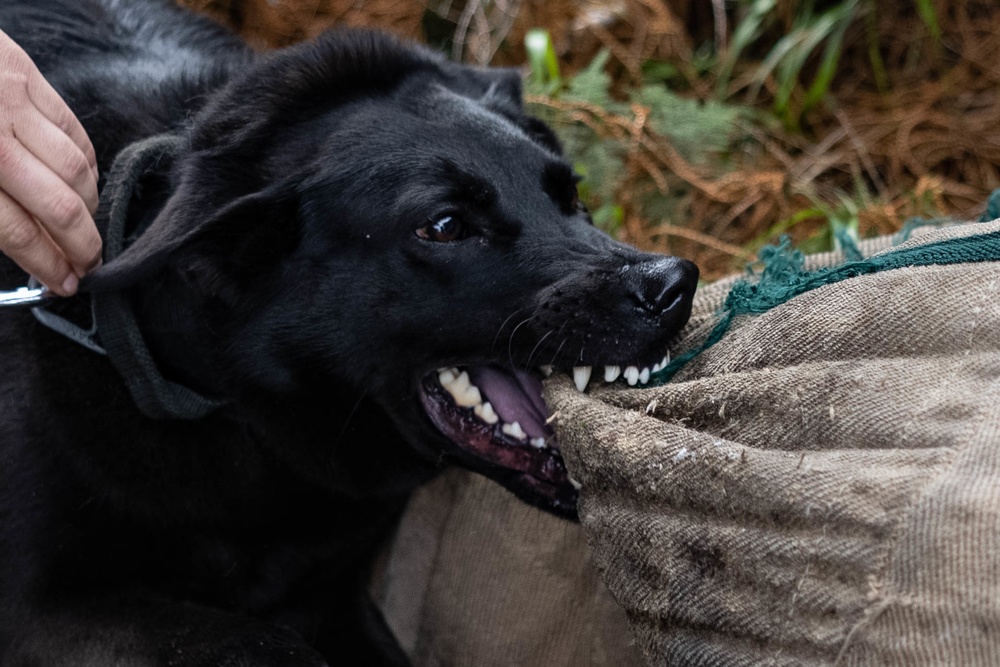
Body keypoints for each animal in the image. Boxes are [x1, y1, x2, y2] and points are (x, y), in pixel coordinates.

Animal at [0, 2, 696, 664]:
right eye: (444, 226)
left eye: (571, 196)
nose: (672, 285)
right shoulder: (43, 612)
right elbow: (260, 645)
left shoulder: (332, 594)